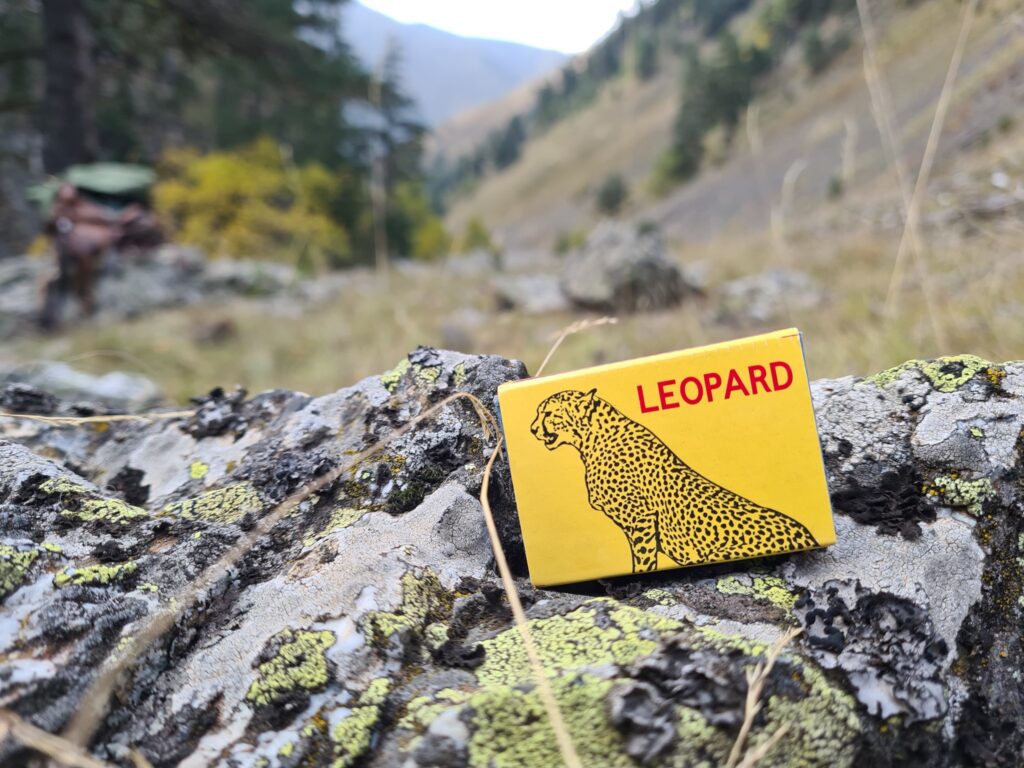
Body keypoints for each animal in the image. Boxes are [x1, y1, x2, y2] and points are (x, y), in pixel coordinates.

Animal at [530, 388, 818, 573]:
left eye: (549, 414)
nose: (532, 429)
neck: (592, 440)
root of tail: (810, 536)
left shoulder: (642, 518)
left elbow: (643, 561)